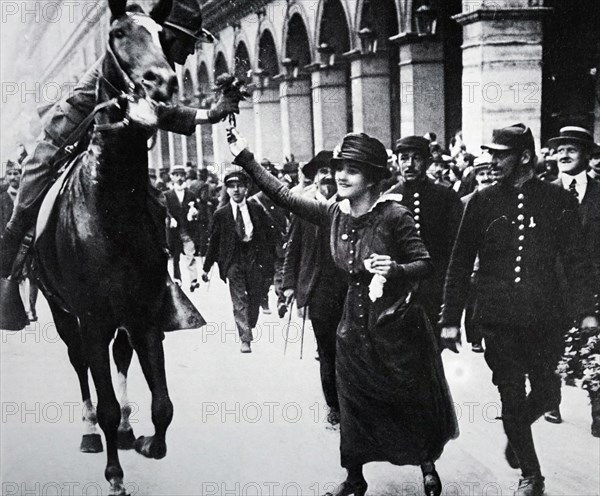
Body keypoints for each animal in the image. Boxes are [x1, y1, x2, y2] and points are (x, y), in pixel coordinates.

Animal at [31, 0, 200, 492]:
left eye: (162, 36)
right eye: (119, 33)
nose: (161, 82)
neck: (110, 209)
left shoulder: (144, 314)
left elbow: (163, 406)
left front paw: (144, 441)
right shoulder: (90, 317)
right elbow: (102, 395)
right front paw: (113, 472)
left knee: (119, 357)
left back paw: (127, 426)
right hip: (62, 310)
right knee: (80, 365)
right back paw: (90, 431)